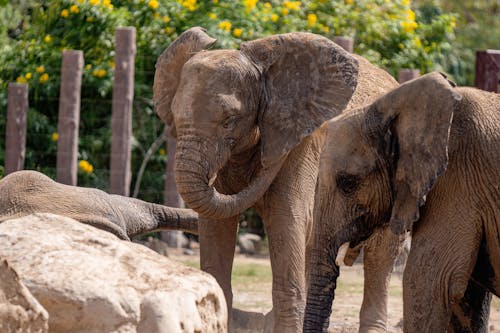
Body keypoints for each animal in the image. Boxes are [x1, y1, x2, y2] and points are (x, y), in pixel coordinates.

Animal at [152, 27, 402, 330]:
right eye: (175, 117)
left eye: (229, 120)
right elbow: (217, 223)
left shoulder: (304, 142)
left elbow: (287, 217)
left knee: (380, 254)